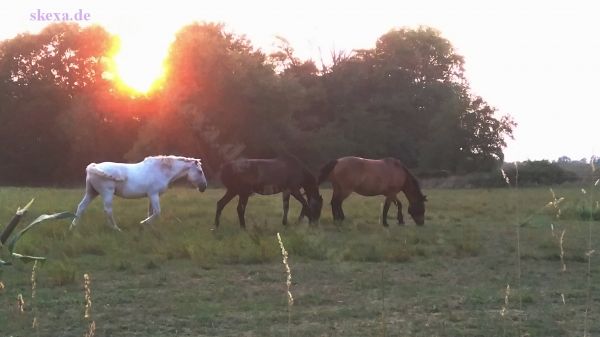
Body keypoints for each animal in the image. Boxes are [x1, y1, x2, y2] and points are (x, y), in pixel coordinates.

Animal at [69, 156, 206, 231]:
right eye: (199, 171)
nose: (204, 187)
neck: (161, 170)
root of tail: (93, 166)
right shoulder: (154, 194)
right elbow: (157, 212)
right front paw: (143, 223)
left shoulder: (151, 196)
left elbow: (151, 212)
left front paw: (149, 227)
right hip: (107, 193)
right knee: (108, 210)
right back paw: (116, 229)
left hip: (92, 193)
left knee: (81, 207)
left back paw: (73, 227)